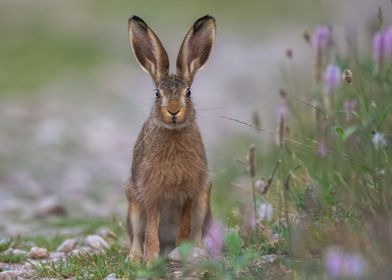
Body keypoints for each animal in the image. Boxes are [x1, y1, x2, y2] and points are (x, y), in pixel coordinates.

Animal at [125, 15, 216, 262]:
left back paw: (198, 251)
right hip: (133, 204)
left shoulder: (189, 194)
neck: (173, 131)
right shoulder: (151, 194)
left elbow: (184, 227)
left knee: (197, 231)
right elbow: (150, 229)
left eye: (189, 93)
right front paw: (150, 260)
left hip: (203, 202)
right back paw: (135, 257)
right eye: (158, 94)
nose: (173, 111)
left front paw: (182, 250)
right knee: (137, 234)